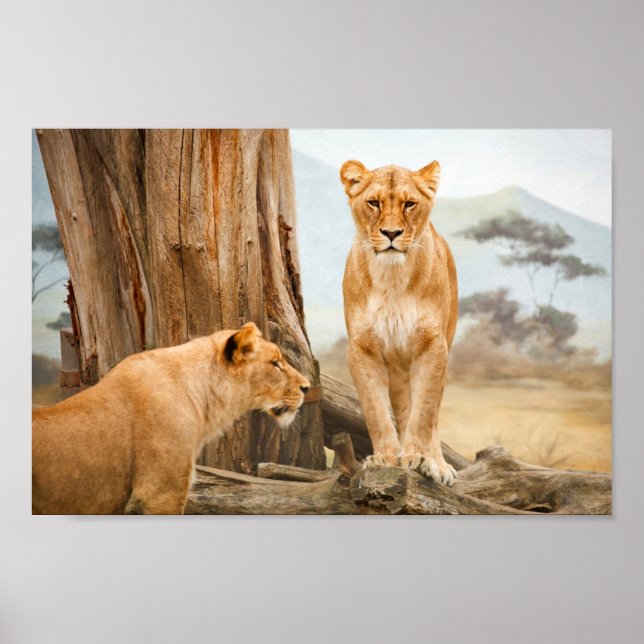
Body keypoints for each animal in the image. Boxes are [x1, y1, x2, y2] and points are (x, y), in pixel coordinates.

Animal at [340, 159, 458, 485]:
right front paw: (385, 458)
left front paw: (419, 458)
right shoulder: (362, 349)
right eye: (373, 202)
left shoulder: (432, 347)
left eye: (409, 204)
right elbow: (376, 411)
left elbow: (424, 414)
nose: (391, 233)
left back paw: (437, 464)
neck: (392, 278)